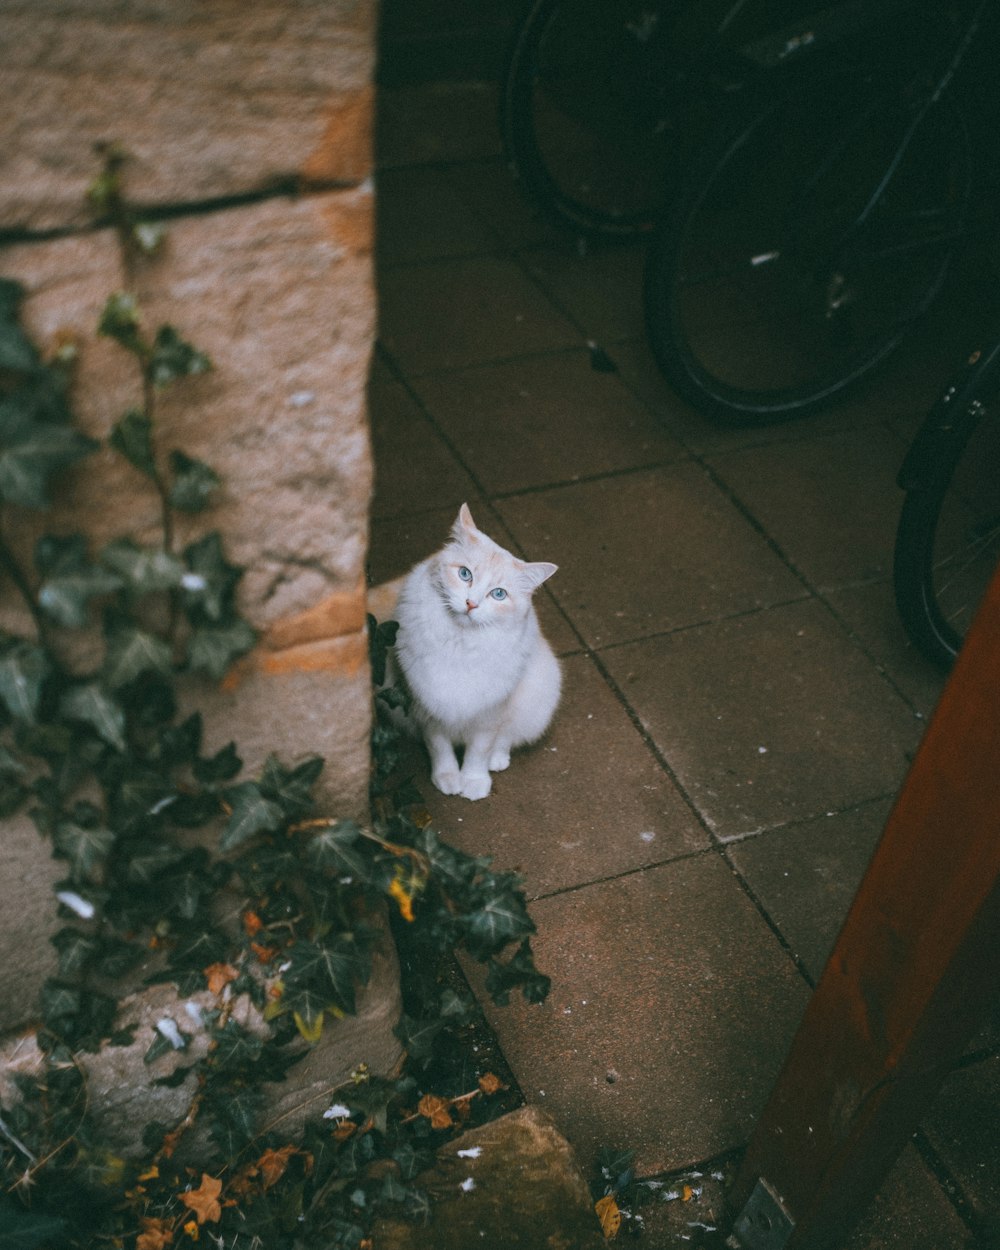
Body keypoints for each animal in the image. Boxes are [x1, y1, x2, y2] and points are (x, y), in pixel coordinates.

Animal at [392, 505, 562, 800]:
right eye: (465, 575)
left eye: (498, 594)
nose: (471, 604)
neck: (460, 643)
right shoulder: (426, 708)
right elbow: (439, 748)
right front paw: (447, 778)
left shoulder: (490, 713)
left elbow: (478, 752)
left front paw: (473, 782)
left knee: (507, 738)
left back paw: (497, 760)